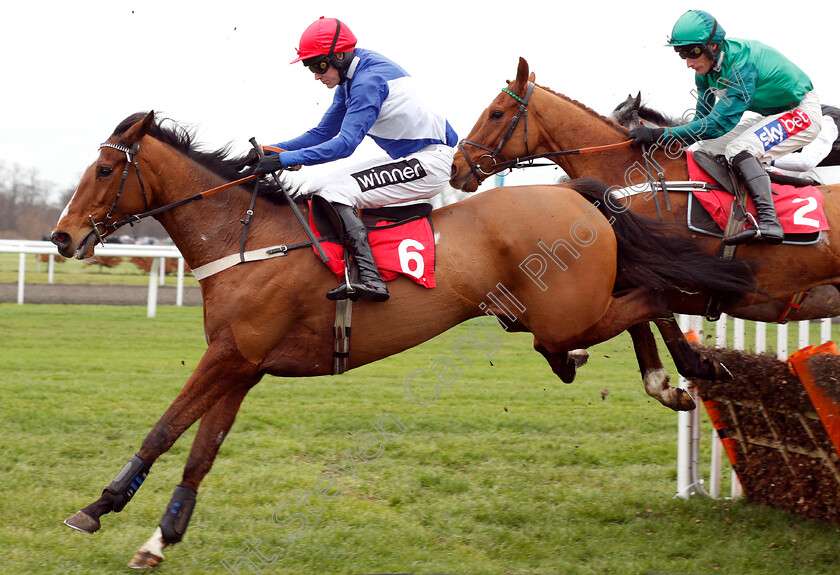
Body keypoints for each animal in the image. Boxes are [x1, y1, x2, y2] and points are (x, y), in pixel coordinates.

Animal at [49, 111, 752, 568]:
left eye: (105, 168)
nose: (61, 237)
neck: (245, 240)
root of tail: (578, 196)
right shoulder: (242, 366)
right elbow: (200, 451)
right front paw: (160, 538)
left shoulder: (227, 356)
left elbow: (163, 430)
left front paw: (98, 507)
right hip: (555, 311)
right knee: (638, 301)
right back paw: (657, 377)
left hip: (564, 310)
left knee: (652, 295)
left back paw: (684, 370)